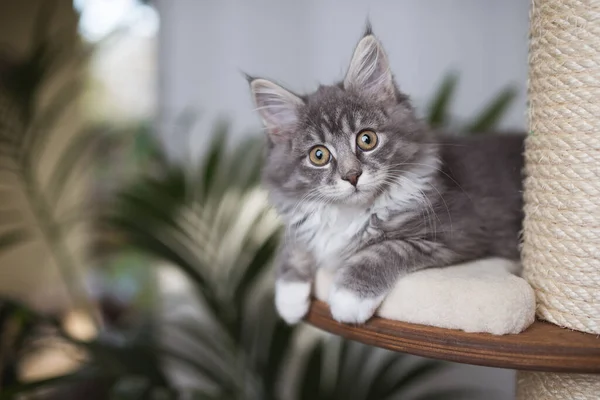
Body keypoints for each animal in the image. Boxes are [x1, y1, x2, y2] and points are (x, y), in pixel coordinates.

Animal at [246, 25, 524, 324]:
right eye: (318, 155)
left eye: (367, 139)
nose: (352, 175)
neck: (350, 214)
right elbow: (294, 246)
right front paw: (289, 296)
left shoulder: (456, 230)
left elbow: (383, 250)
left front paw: (348, 298)